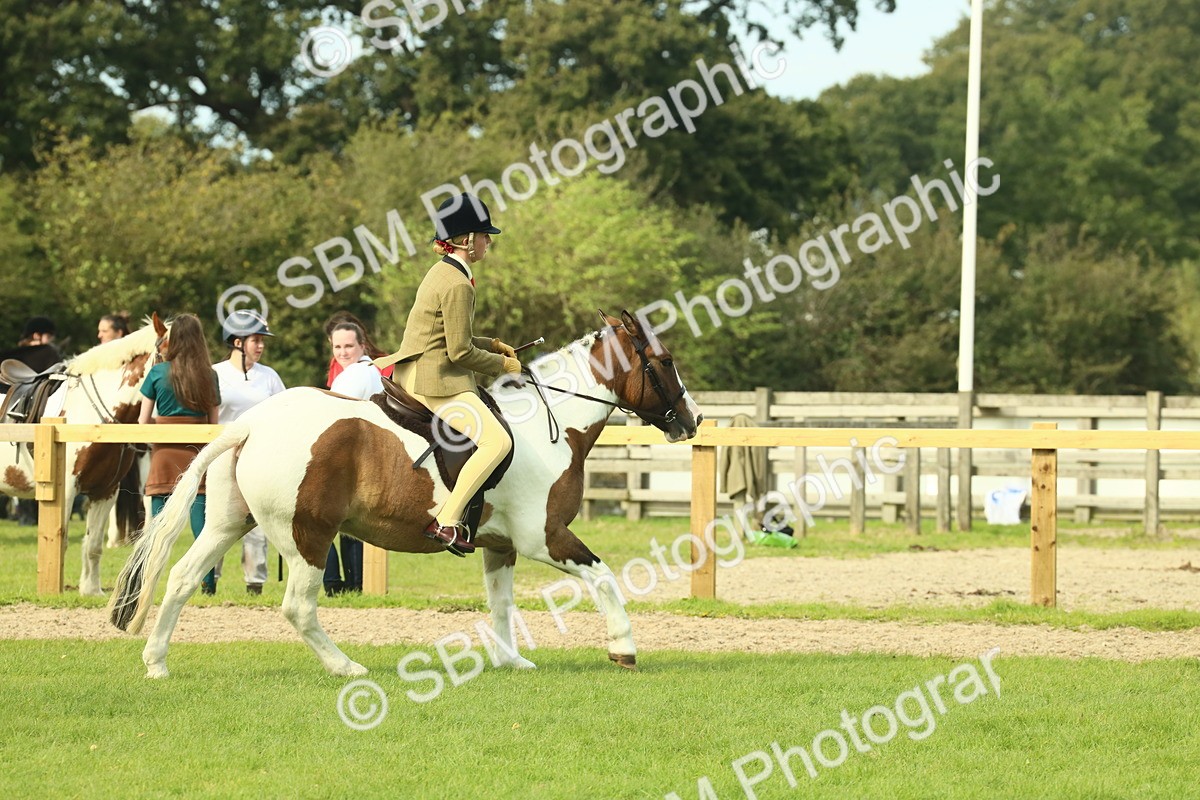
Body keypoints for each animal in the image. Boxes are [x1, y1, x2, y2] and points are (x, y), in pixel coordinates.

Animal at [109, 311, 702, 678]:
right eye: (666, 362)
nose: (692, 421)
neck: (546, 427)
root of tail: (252, 423)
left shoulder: (501, 545)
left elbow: (501, 602)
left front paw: (510, 661)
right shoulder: (546, 536)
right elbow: (604, 578)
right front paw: (623, 648)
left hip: (230, 522)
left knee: (183, 578)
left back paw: (156, 662)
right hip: (308, 536)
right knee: (298, 607)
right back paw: (346, 666)